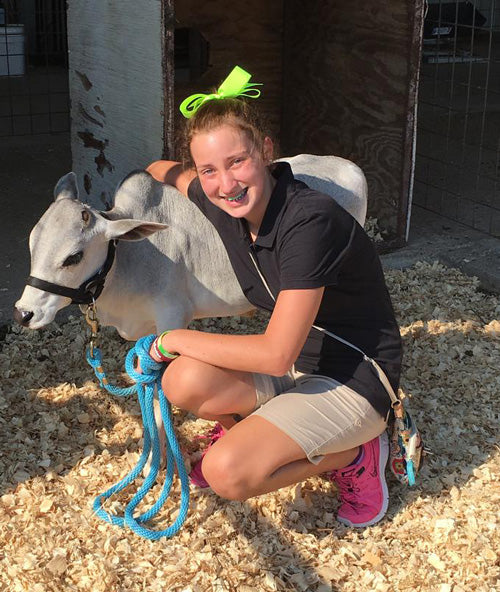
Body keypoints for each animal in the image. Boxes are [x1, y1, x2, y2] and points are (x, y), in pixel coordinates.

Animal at [13, 154, 366, 338]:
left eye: (73, 256)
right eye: (31, 244)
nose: (23, 313)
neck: (131, 258)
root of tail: (350, 166)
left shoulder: (173, 319)